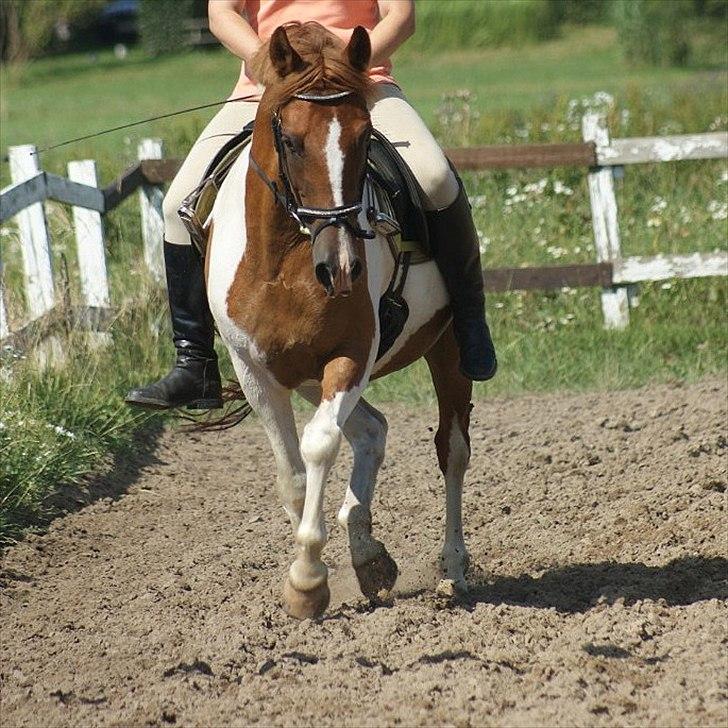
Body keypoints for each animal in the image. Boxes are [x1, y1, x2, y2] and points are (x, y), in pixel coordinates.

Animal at [206, 21, 472, 620]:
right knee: (373, 429)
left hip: (447, 347)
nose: (344, 266)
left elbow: (319, 444)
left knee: (452, 448)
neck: (283, 262)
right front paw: (328, 569)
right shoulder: (255, 370)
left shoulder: (351, 351)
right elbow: (291, 475)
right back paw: (368, 555)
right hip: (302, 373)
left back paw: (453, 567)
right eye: (291, 140)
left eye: (364, 135)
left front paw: (307, 582)